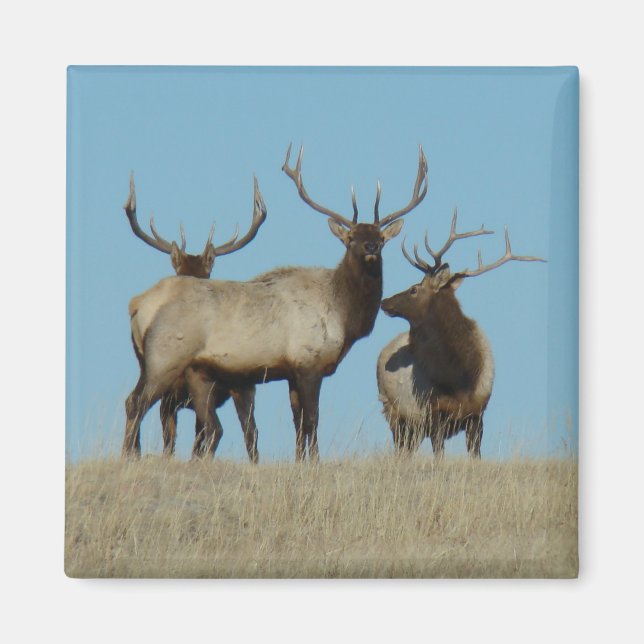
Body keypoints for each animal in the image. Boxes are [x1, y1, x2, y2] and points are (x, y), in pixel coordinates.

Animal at [377, 210, 544, 457]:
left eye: (414, 289)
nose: (384, 301)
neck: (460, 377)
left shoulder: (477, 413)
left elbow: (475, 456)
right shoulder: (434, 413)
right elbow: (439, 456)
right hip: (394, 412)